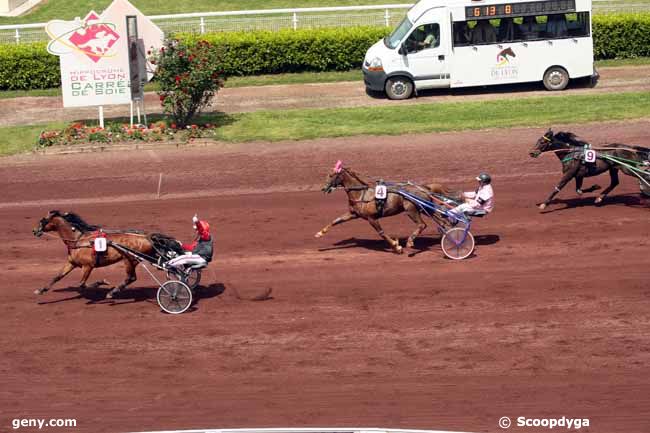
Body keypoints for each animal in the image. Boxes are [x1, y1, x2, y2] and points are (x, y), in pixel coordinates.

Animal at [314, 162, 456, 253]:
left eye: (331, 175)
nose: (324, 188)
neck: (361, 193)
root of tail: (424, 187)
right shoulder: (353, 214)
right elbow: (336, 221)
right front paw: (319, 233)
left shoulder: (371, 218)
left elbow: (381, 233)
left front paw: (396, 246)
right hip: (425, 208)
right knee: (442, 221)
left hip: (411, 209)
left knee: (422, 225)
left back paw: (411, 242)